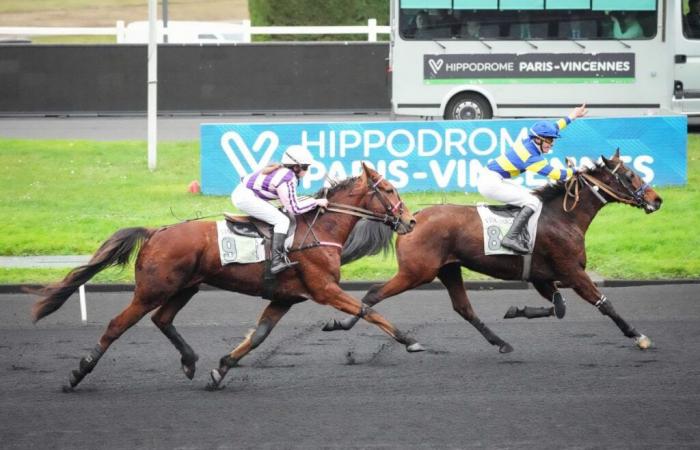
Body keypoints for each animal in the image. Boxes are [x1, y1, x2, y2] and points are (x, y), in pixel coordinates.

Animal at [30, 163, 418, 392]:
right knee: (117, 325)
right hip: (152, 290)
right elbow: (369, 311)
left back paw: (190, 361)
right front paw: (409, 340)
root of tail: (156, 232)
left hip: (184, 288)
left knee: (162, 319)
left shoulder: (285, 297)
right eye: (389, 190)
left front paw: (221, 370)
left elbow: (258, 337)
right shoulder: (324, 288)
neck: (319, 230)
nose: (411, 221)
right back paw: (78, 373)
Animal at [326, 150, 664, 352]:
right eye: (630, 175)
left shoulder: (543, 277)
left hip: (448, 269)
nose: (657, 199)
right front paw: (638, 335)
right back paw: (347, 324)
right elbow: (603, 303)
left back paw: (500, 341)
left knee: (463, 308)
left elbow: (559, 307)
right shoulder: (572, 271)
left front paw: (515, 310)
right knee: (374, 293)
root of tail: (412, 217)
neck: (563, 217)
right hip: (417, 272)